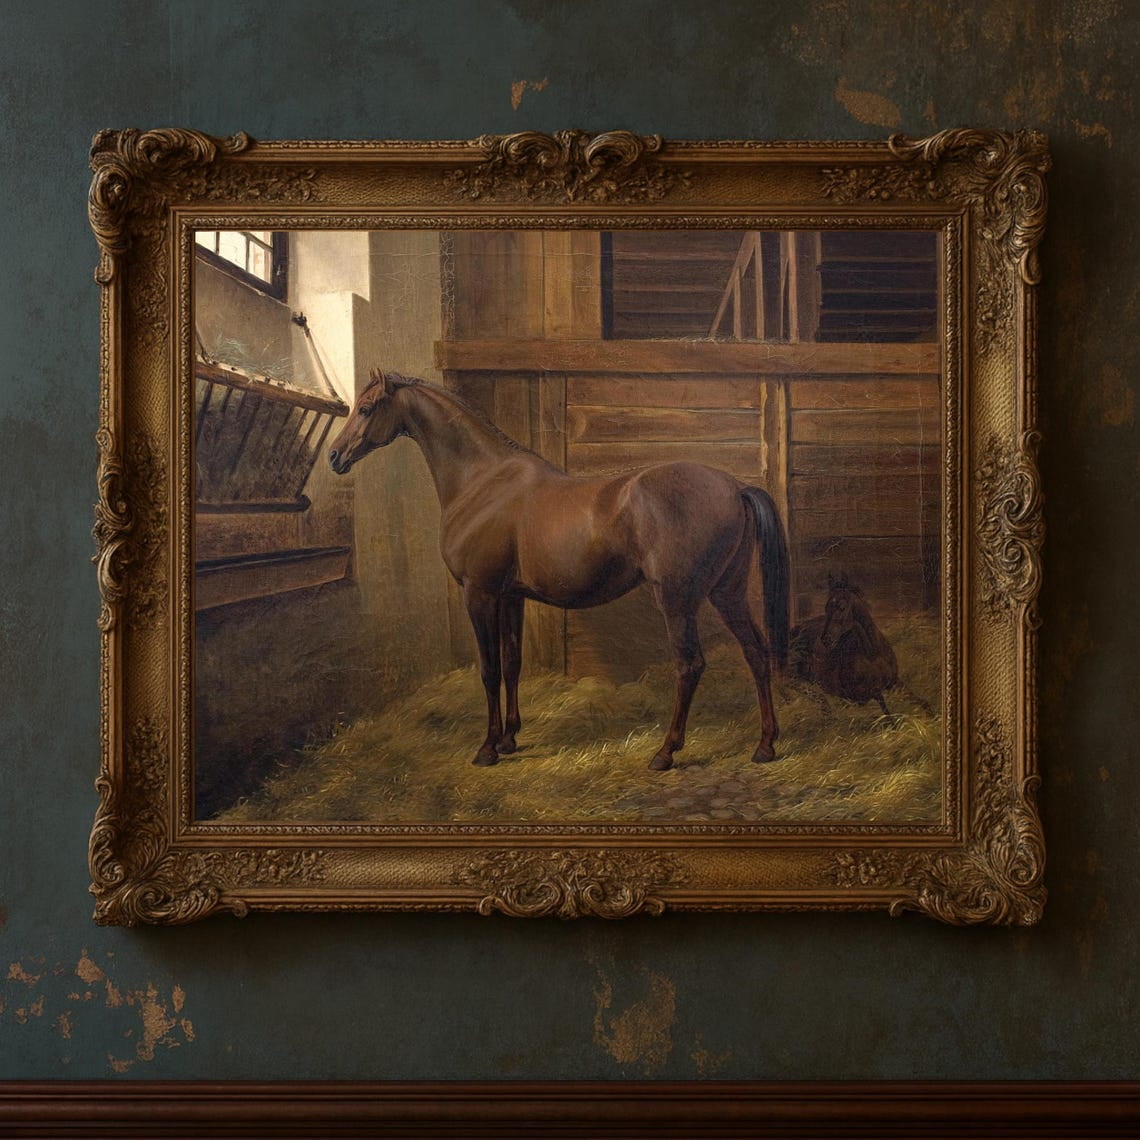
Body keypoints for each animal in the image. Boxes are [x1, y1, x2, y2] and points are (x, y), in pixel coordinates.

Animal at [328, 368, 790, 772]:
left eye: (366, 408)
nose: (334, 456)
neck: (483, 482)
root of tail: (735, 487)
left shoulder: (479, 593)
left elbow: (489, 669)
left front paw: (487, 748)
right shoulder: (510, 597)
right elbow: (512, 663)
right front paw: (509, 738)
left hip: (678, 601)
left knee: (689, 665)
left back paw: (665, 753)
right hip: (726, 593)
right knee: (756, 652)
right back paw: (765, 745)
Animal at [789, 573, 898, 715]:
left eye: (842, 607)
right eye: (826, 608)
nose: (825, 640)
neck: (872, 654)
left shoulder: (896, 683)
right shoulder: (857, 695)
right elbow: (884, 706)